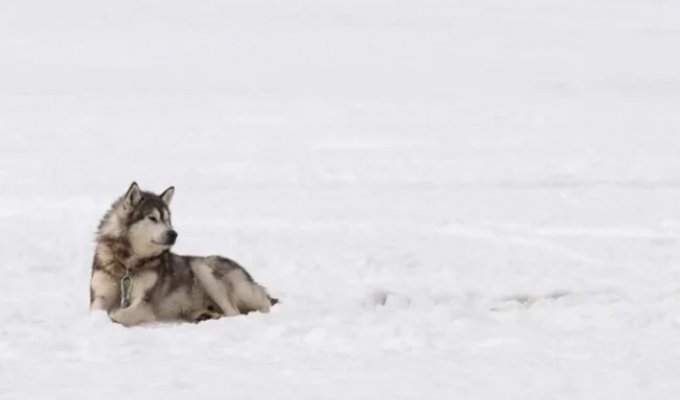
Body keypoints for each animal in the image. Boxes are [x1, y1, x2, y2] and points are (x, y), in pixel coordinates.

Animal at [89, 183, 276, 326]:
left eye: (167, 219)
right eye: (152, 218)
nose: (173, 234)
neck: (127, 265)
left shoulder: (144, 304)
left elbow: (117, 315)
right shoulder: (99, 296)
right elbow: (97, 310)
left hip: (202, 268)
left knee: (235, 312)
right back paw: (205, 315)